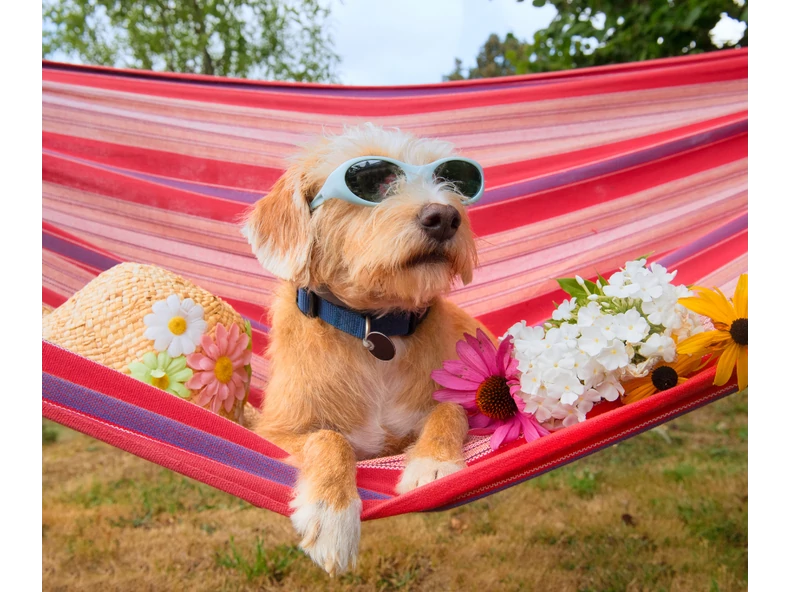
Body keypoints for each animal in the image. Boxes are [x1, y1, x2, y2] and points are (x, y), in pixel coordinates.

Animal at [244, 123, 496, 572]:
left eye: (450, 178)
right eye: (373, 181)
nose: (445, 217)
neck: (375, 329)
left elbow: (449, 410)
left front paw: (433, 462)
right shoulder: (276, 433)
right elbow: (329, 439)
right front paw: (332, 513)